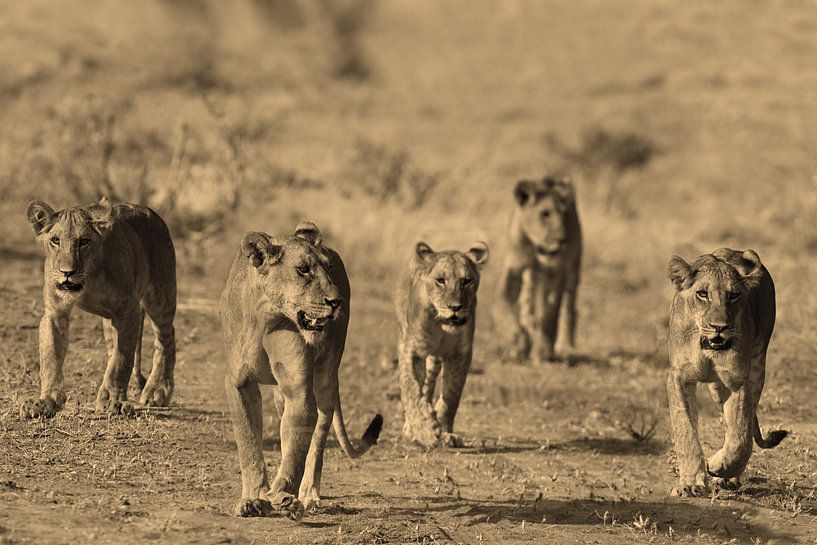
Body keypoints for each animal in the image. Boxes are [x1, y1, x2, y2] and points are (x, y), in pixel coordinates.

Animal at [20, 197, 176, 418]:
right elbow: (50, 357)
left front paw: (112, 401)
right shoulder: (55, 312)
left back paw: (158, 390)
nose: (67, 272)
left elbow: (121, 360)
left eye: (84, 241)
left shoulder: (128, 311)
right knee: (116, 348)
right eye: (55, 240)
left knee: (166, 338)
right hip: (111, 320)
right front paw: (45, 401)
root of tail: (150, 212)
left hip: (160, 297)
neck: (89, 277)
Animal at [220, 222, 383, 520]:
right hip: (278, 395)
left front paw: (283, 495)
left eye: (328, 268)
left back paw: (308, 495)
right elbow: (249, 443)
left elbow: (298, 448)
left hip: (326, 378)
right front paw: (252, 499)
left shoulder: (298, 386)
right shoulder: (239, 382)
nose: (336, 301)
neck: (265, 316)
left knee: (318, 437)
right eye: (303, 269)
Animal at [395, 241, 489, 448]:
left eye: (466, 281)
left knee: (429, 387)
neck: (441, 326)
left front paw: (445, 432)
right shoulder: (412, 349)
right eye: (440, 280)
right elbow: (410, 388)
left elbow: (451, 395)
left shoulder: (460, 354)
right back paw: (412, 428)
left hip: (435, 359)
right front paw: (424, 430)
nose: (455, 307)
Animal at [495, 176, 582, 364]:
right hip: (531, 277)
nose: (562, 239)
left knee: (569, 309)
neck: (536, 247)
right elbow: (501, 302)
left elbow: (550, 315)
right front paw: (516, 338)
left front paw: (542, 351)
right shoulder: (513, 268)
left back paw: (565, 349)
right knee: (527, 305)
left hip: (573, 270)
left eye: (564, 214)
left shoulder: (557, 271)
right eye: (545, 214)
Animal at [666, 248, 787, 496]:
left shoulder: (738, 382)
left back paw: (728, 475)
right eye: (702, 294)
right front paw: (691, 484)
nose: (719, 327)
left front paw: (718, 467)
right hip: (717, 387)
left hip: (756, 367)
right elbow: (685, 430)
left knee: (740, 428)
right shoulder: (678, 378)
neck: (705, 345)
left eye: (733, 296)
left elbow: (740, 436)